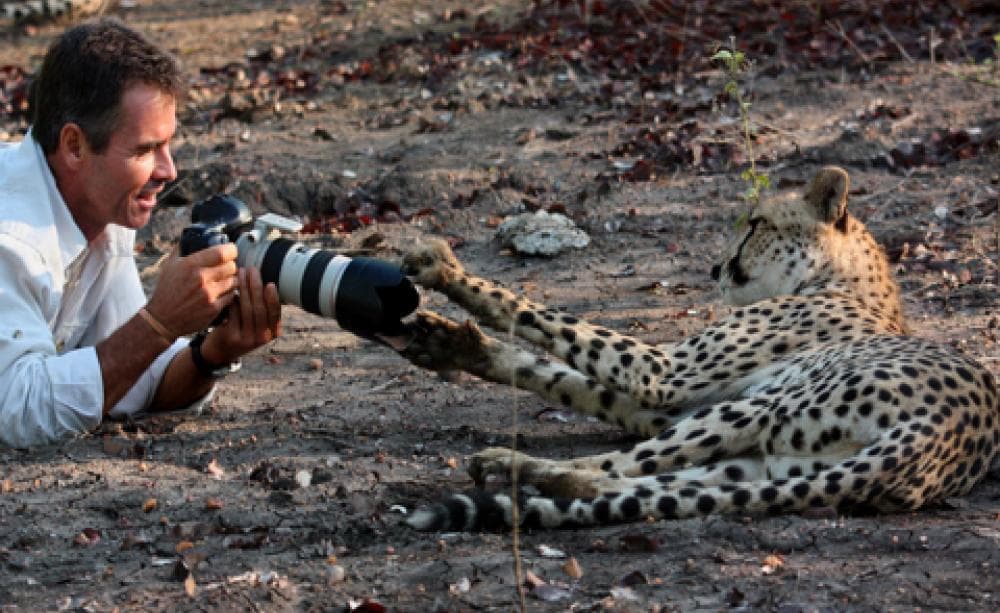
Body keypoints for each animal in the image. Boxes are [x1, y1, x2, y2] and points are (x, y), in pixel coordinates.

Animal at [386, 165, 999, 531]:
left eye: (755, 224)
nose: (714, 269)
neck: (844, 283)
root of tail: (947, 438)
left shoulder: (663, 373)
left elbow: (543, 317)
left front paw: (444, 270)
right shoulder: (666, 404)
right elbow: (564, 377)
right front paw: (452, 343)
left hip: (759, 411)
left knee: (611, 467)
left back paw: (518, 465)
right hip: (768, 465)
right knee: (636, 482)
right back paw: (539, 478)